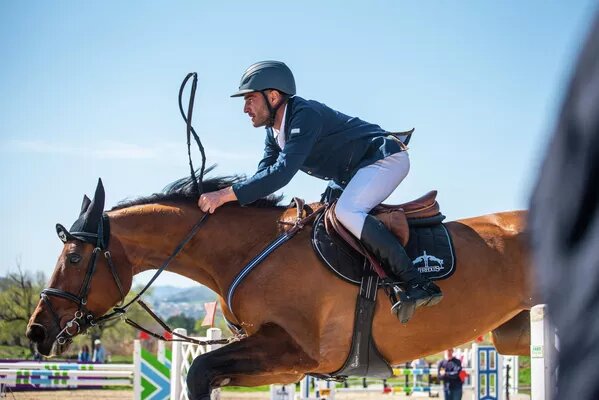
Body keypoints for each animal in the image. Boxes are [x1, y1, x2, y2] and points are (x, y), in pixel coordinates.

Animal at [25, 176, 536, 400]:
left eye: (74, 259)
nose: (36, 331)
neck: (248, 248)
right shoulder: (281, 364)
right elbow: (207, 373)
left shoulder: (295, 349)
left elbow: (199, 371)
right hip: (513, 335)